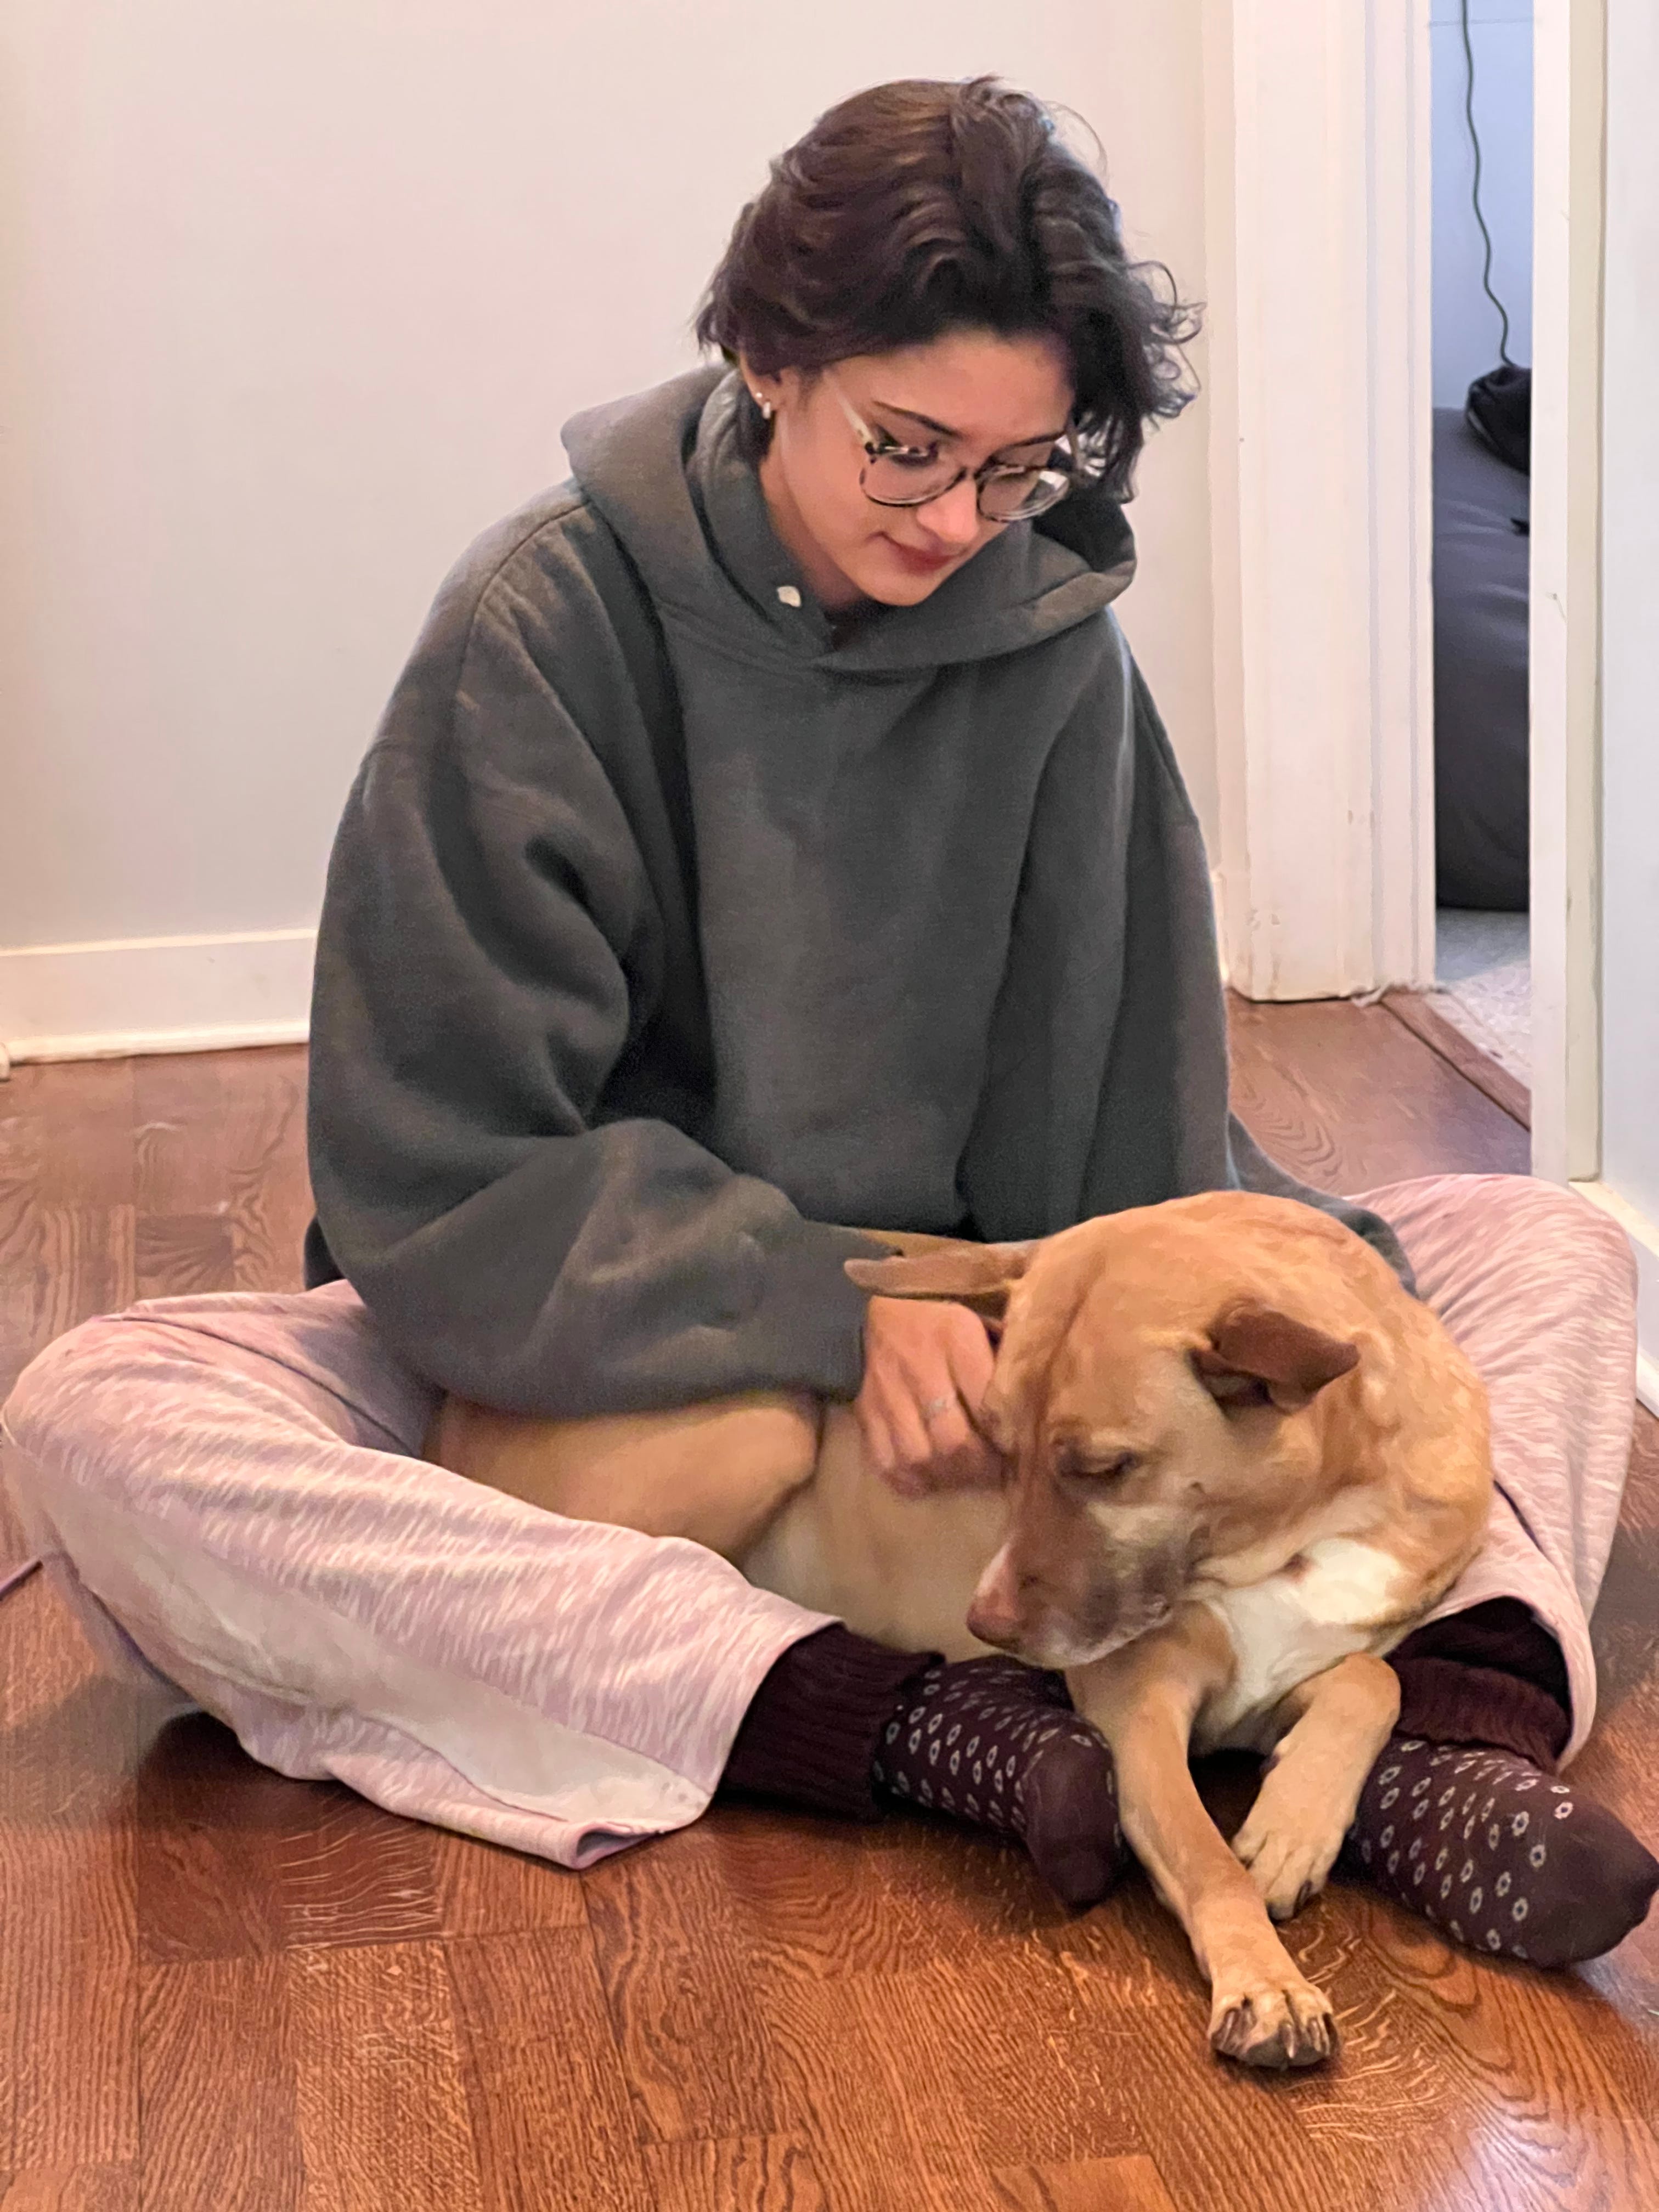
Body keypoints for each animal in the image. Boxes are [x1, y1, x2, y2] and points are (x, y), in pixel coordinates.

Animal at [427, 1189, 1493, 2069]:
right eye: (996, 1445)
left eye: (1104, 1467)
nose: (991, 1623)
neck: (1296, 1523)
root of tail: (449, 1409)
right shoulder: (1135, 1697)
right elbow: (1201, 1856)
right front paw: (1264, 1981)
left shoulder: (1274, 1677)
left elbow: (1374, 1681)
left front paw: (1288, 1828)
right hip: (767, 1425)